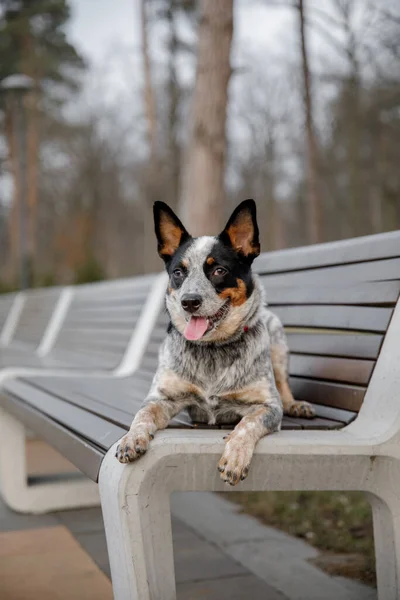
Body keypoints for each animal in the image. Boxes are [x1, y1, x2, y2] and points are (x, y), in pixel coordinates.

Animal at [115, 199, 316, 486]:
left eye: (219, 270)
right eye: (178, 272)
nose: (189, 301)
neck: (212, 350)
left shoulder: (268, 406)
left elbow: (246, 424)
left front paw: (235, 457)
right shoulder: (162, 398)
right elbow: (142, 415)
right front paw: (131, 438)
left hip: (278, 340)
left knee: (284, 384)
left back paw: (296, 405)